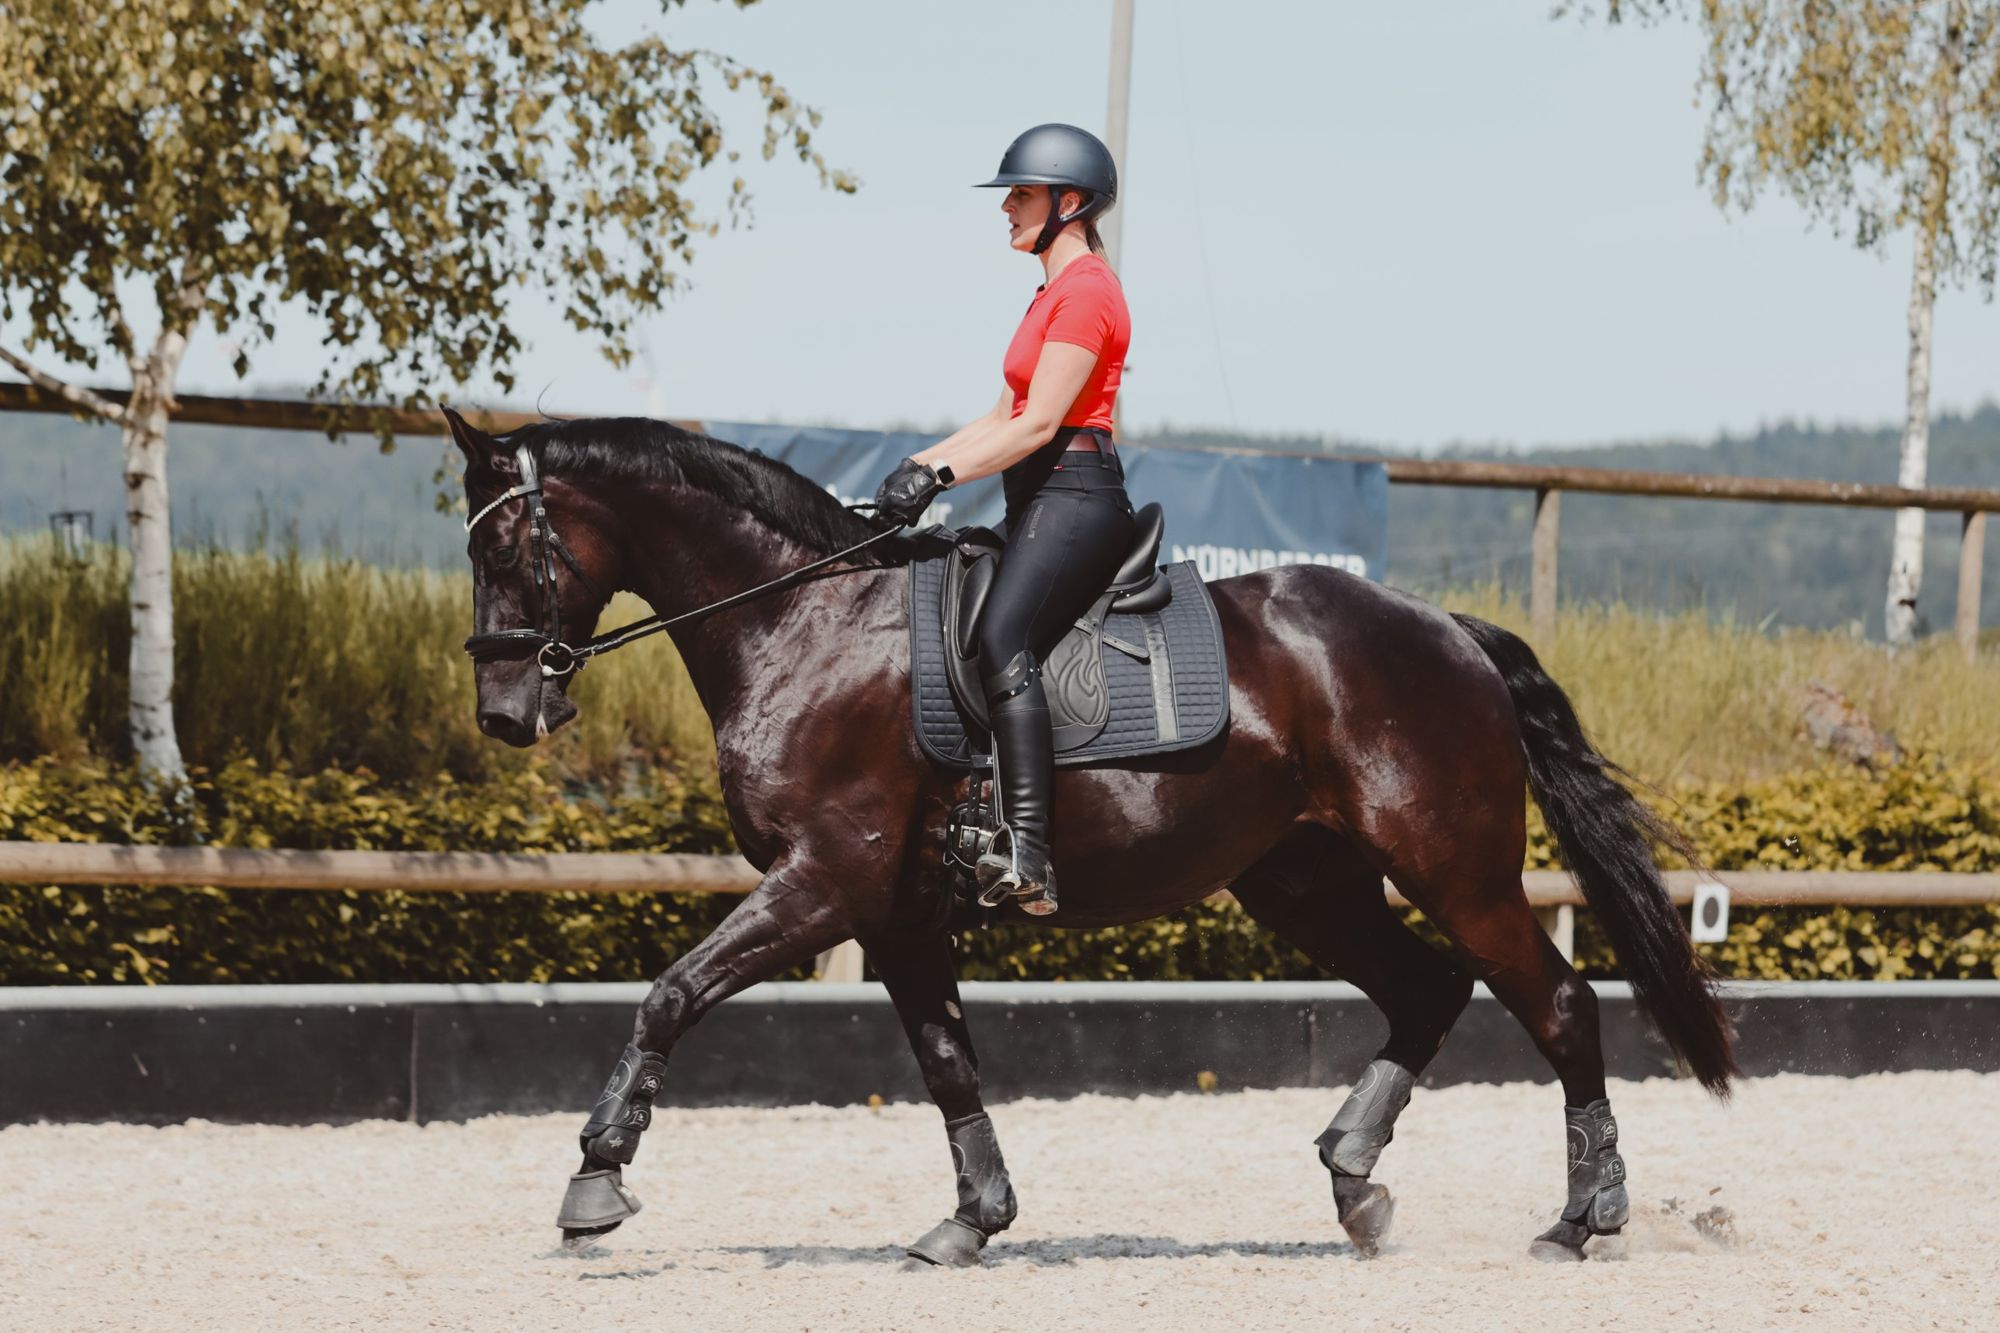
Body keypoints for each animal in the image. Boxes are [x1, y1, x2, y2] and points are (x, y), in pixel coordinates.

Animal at [443, 407, 1734, 1266]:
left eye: (500, 550)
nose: (503, 713)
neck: (803, 620)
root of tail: (1447, 630)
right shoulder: (892, 911)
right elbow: (946, 1061)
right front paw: (973, 1217)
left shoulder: (822, 883)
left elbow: (670, 992)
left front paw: (594, 1180)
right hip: (1303, 882)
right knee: (1425, 990)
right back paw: (1354, 1182)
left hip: (1452, 867)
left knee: (1555, 1003)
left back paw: (1582, 1216)